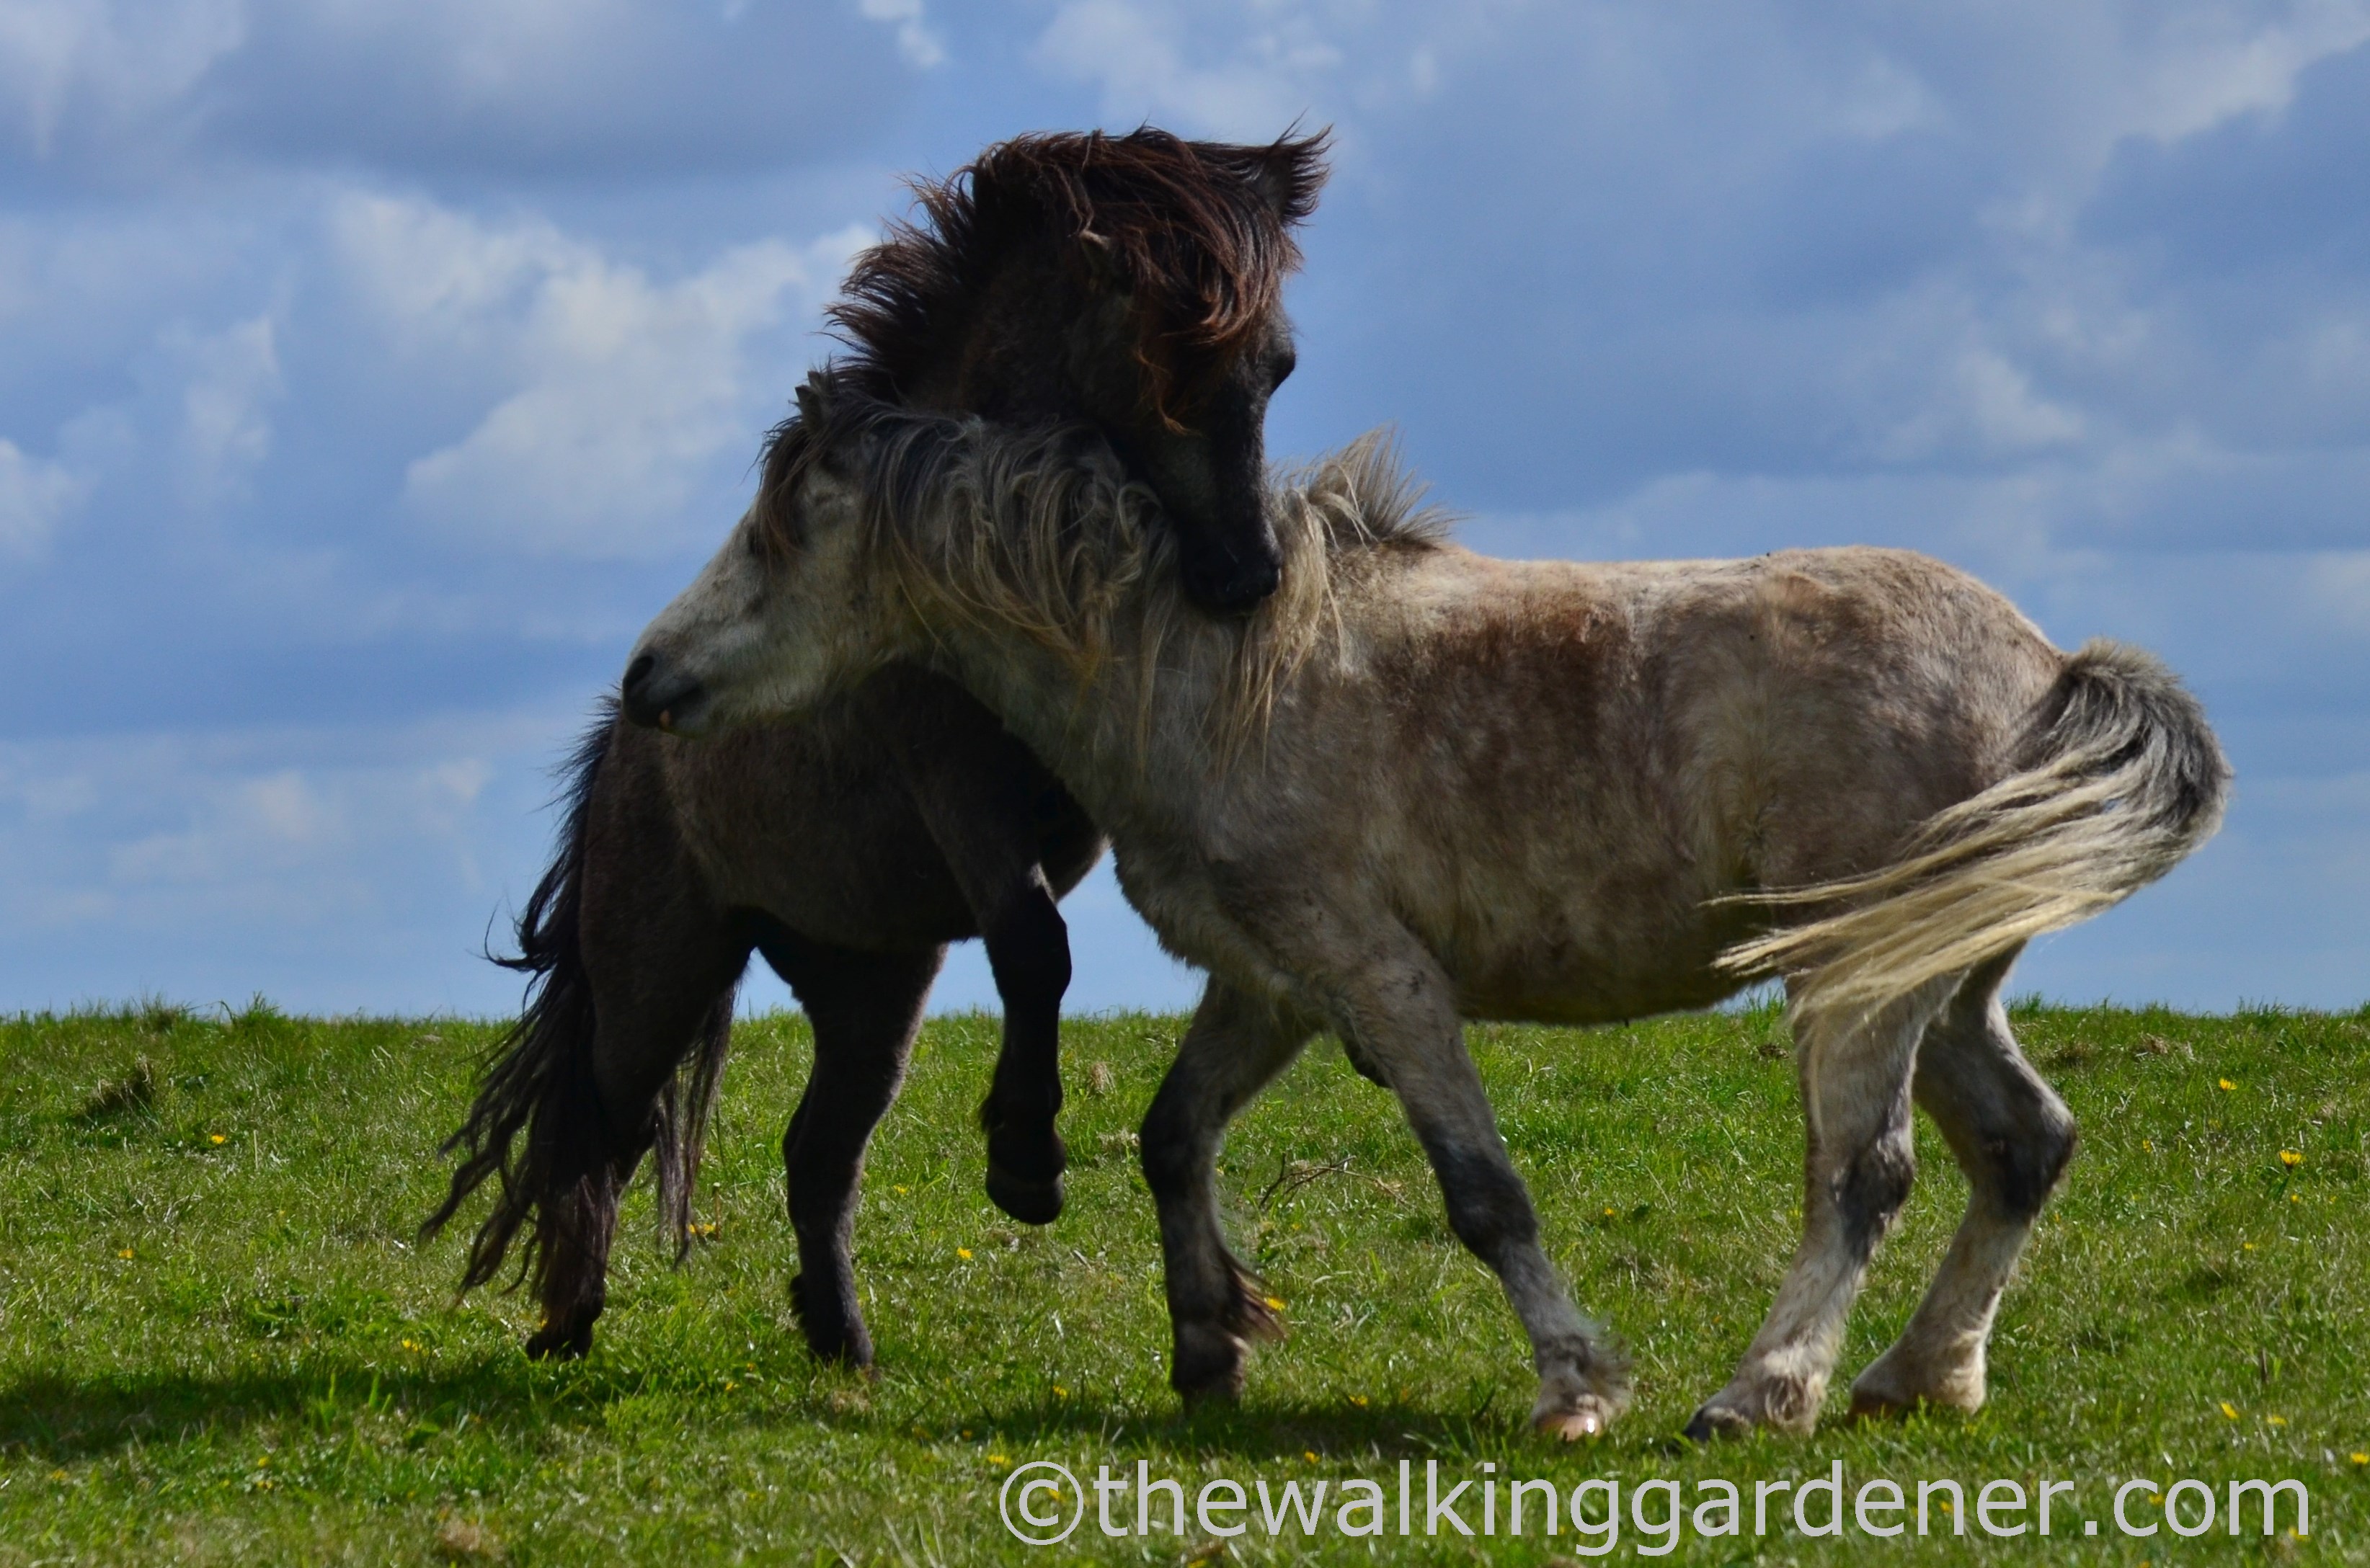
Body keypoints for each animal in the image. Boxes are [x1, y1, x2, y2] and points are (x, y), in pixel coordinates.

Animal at [423, 127, 1328, 1368]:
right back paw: (570, 1316)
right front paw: (1026, 1164)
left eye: (1277, 368)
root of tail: (627, 753)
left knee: (816, 1152)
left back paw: (839, 1335)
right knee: (596, 1124)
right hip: (659, 973)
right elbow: (1036, 948)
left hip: (871, 987)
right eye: (1167, 373)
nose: (1246, 577)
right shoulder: (960, 795)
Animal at [619, 378, 2229, 1438]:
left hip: (1857, 981)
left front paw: (1575, 1383)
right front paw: (1208, 1345)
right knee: (2024, 1145)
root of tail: (2043, 665)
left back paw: (1761, 1392)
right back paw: (1920, 1375)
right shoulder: (1272, 979)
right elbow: (1172, 1136)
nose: (649, 678)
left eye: (780, 533)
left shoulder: (1382, 979)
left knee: (1865, 1173)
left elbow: (1482, 1190)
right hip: (1942, 982)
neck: (1217, 672)